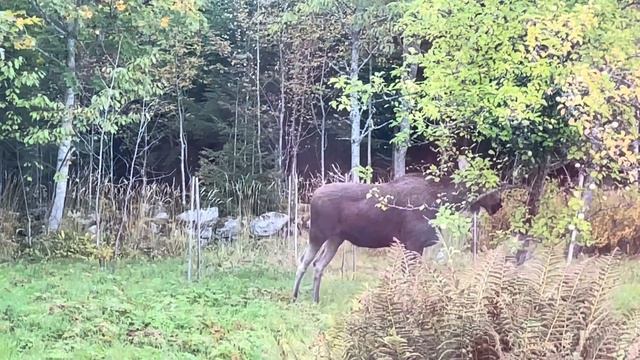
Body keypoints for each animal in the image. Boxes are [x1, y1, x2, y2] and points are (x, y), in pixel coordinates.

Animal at [292, 173, 508, 302]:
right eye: (489, 185)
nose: (499, 204)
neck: (440, 204)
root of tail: (312, 196)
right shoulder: (414, 243)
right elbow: (411, 276)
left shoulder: (409, 245)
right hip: (318, 234)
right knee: (303, 262)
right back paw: (294, 297)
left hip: (336, 239)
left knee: (318, 265)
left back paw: (315, 299)